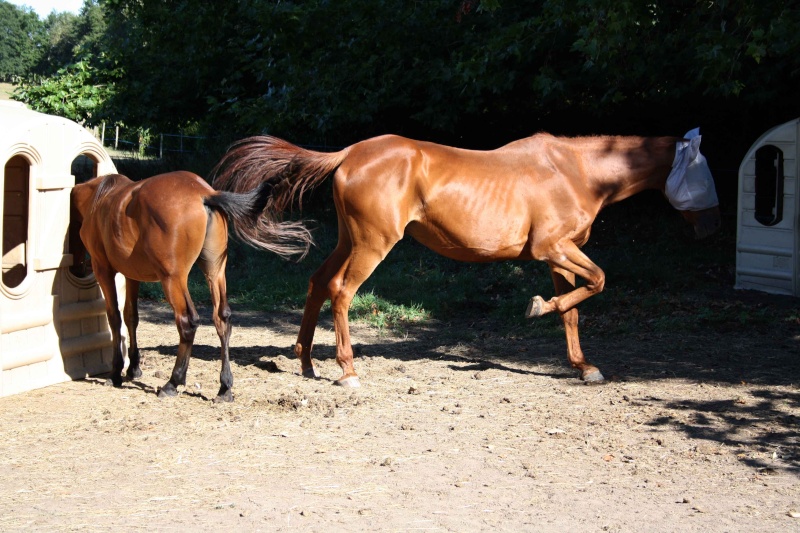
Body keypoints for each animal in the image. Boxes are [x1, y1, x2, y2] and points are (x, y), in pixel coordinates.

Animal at [71, 170, 312, 400]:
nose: (77, 269)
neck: (99, 198)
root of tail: (205, 194)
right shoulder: (133, 276)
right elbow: (132, 317)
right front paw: (134, 368)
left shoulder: (103, 270)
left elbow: (115, 318)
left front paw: (116, 373)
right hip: (215, 271)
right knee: (222, 319)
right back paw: (224, 387)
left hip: (173, 279)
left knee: (187, 322)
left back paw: (173, 382)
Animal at [211, 130, 720, 384]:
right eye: (705, 172)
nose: (711, 227)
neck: (575, 171)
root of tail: (349, 155)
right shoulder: (554, 248)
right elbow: (597, 283)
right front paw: (536, 307)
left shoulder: (559, 257)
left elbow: (574, 311)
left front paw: (583, 367)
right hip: (372, 245)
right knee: (340, 292)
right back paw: (347, 370)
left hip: (348, 241)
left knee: (318, 284)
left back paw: (306, 363)